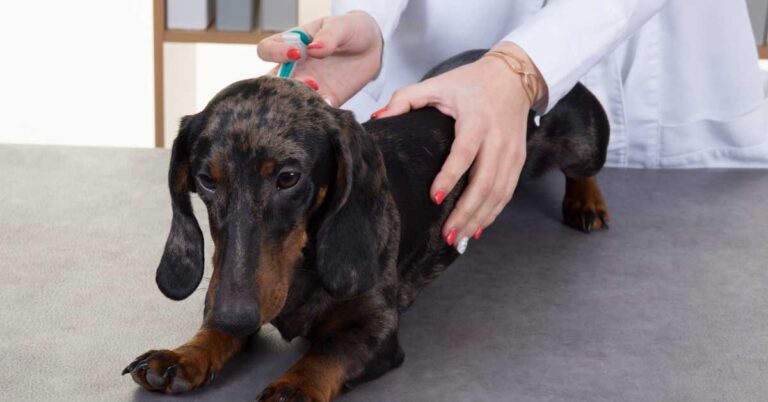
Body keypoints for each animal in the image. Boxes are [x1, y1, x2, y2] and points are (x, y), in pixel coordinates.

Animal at [123, 49, 608, 398]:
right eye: (206, 179)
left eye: (288, 177)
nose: (235, 315)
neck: (302, 267)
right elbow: (212, 332)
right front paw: (183, 356)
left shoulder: (377, 326)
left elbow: (328, 353)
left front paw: (293, 387)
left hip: (586, 139)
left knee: (586, 168)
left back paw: (586, 201)